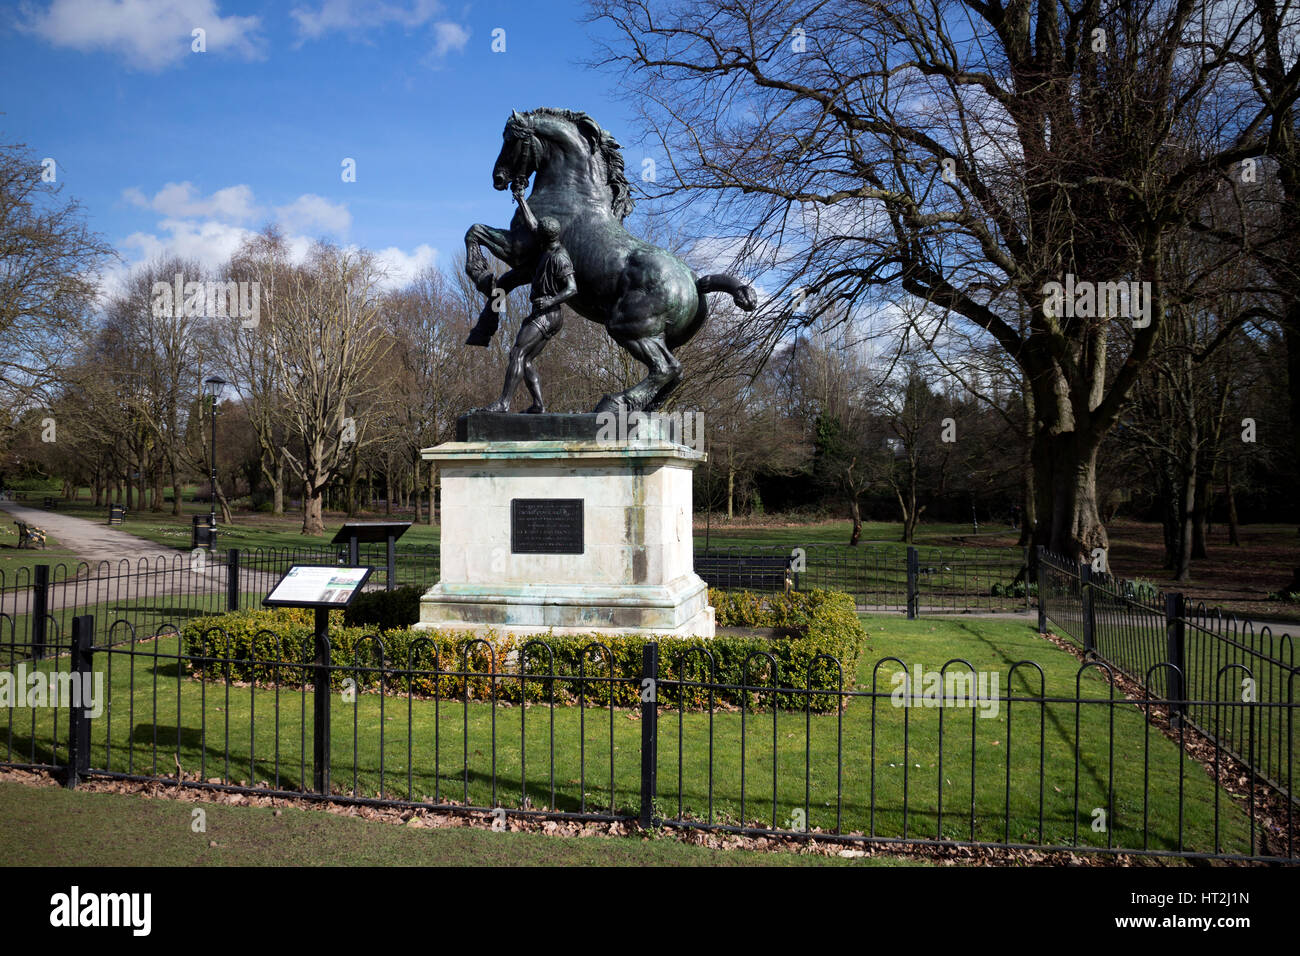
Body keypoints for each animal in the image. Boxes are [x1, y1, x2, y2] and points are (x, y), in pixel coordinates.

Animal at [465, 109, 759, 416]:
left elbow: (475, 231)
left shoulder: (520, 249)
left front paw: (478, 274)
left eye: (511, 139)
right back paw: (647, 405)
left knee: (666, 368)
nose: (498, 178)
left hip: (628, 326)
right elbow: (502, 281)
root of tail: (695, 282)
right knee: (676, 371)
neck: (570, 192)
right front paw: (482, 327)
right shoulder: (531, 266)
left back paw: (617, 401)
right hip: (653, 334)